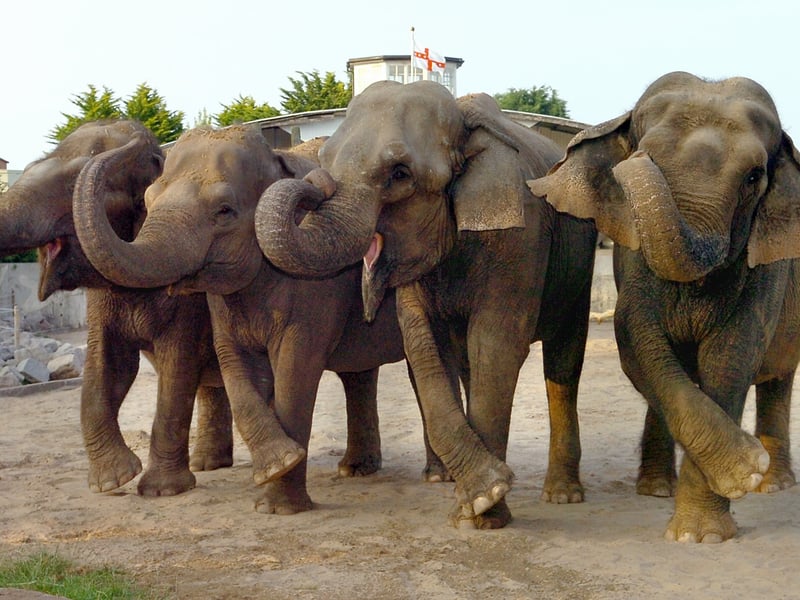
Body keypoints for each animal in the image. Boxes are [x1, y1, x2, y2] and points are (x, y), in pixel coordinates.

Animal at [0, 119, 233, 496]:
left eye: (73, 184)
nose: (137, 133)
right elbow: (107, 366)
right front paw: (113, 481)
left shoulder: (189, 295)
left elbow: (179, 362)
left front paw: (161, 491)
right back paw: (209, 464)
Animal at [71, 124, 422, 514]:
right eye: (148, 200)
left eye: (224, 211)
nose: (321, 185)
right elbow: (231, 362)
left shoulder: (315, 285)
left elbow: (296, 367)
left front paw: (278, 503)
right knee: (358, 373)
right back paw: (353, 469)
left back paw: (432, 474)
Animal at [255, 80, 598, 529]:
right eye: (326, 160)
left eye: (400, 174)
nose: (314, 183)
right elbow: (423, 346)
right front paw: (482, 494)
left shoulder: (519, 236)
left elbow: (497, 344)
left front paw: (484, 511)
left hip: (580, 265)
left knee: (563, 363)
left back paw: (561, 495)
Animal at [529, 71, 800, 542]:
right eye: (648, 155)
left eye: (753, 178)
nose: (635, 160)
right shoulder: (631, 252)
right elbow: (635, 338)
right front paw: (742, 469)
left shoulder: (768, 263)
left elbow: (732, 354)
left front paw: (703, 533)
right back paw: (656, 489)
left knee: (778, 374)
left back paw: (775, 484)